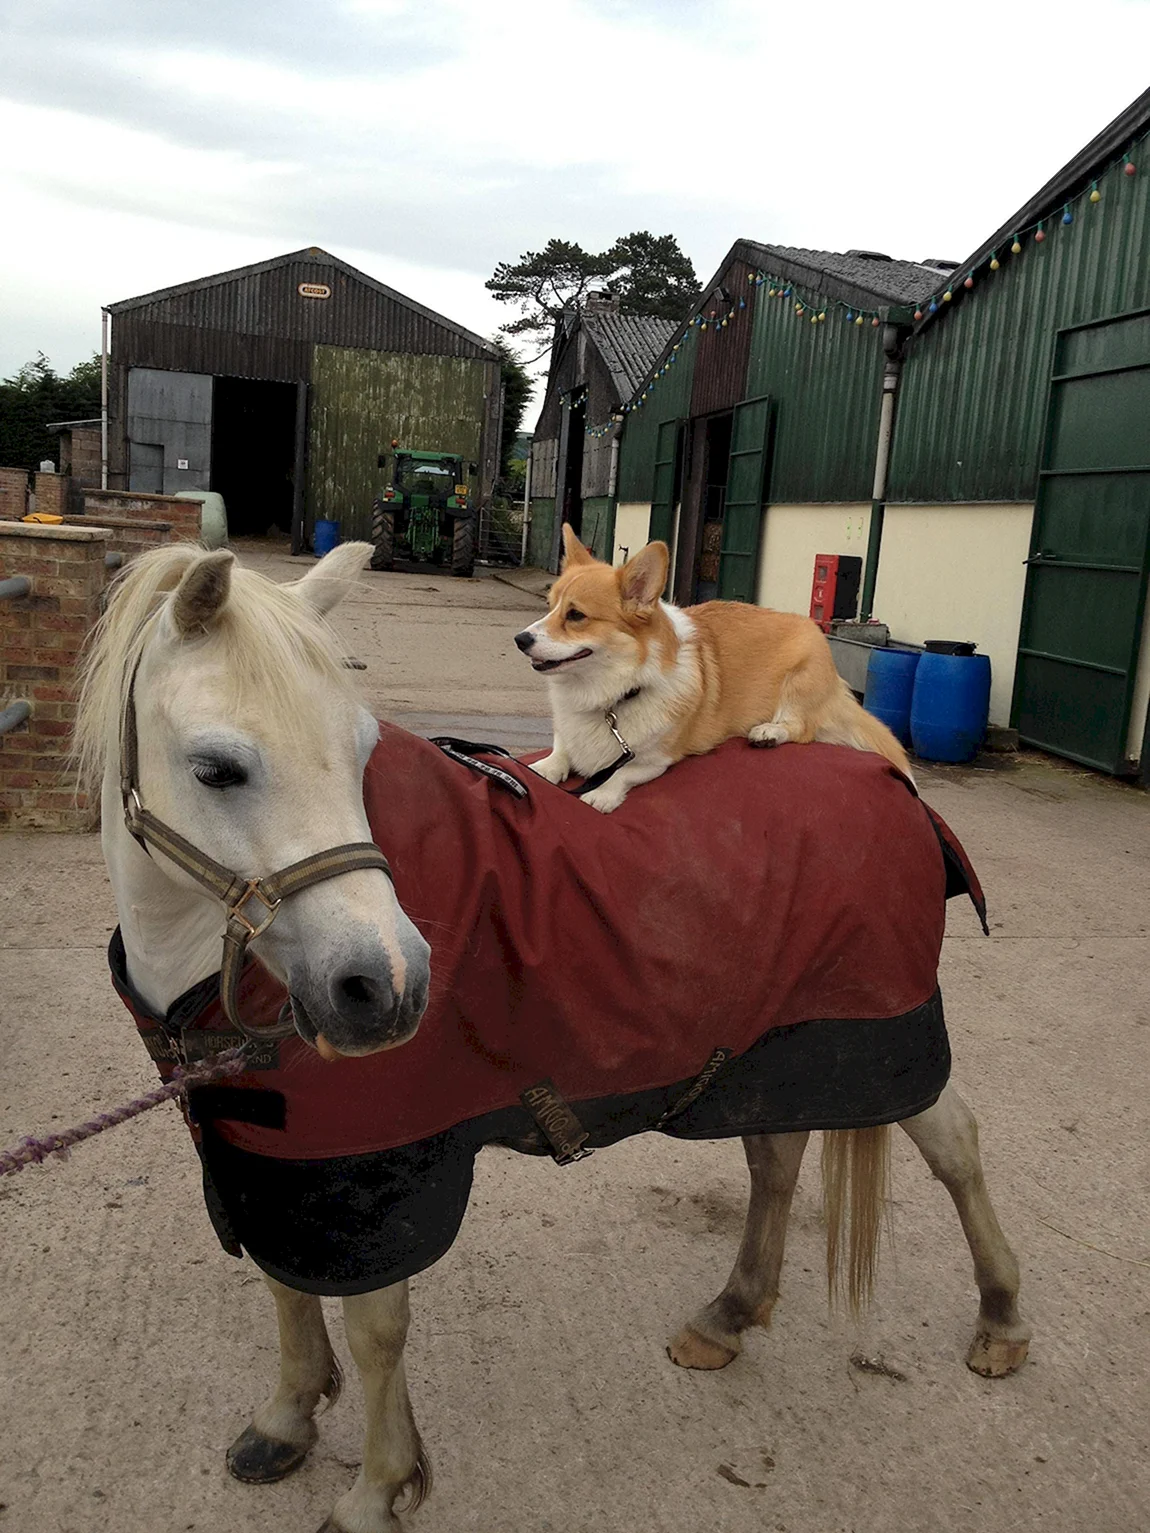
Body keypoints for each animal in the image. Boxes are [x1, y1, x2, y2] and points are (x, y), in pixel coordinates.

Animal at [518, 527, 913, 815]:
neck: (610, 697)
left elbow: (625, 772)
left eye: (576, 616)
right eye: (549, 607)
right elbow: (561, 751)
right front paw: (543, 769)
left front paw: (601, 794)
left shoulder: (658, 758)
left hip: (801, 679)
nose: (520, 639)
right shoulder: (568, 733)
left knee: (802, 727)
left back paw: (769, 732)